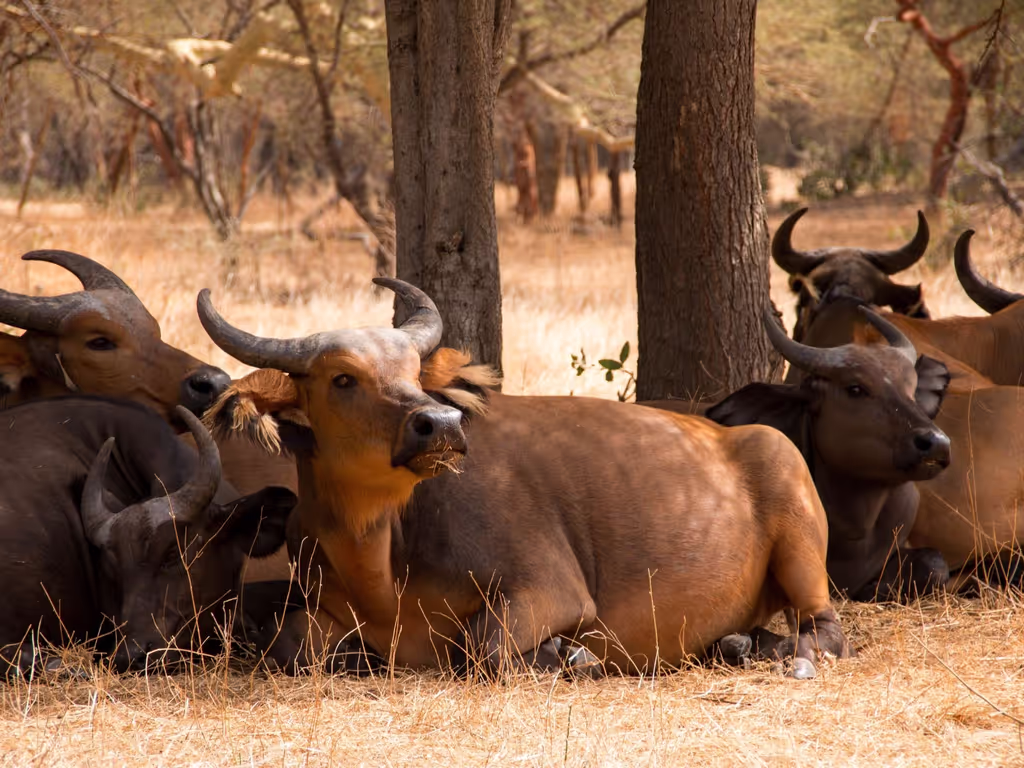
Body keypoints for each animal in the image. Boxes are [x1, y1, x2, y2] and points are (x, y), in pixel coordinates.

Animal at [197, 277, 849, 679]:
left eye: (412, 371)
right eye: (342, 379)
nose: (439, 424)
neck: (381, 559)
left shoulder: (551, 590)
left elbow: (482, 648)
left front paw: (569, 657)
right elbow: (287, 645)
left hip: (800, 538)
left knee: (827, 629)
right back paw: (737, 644)